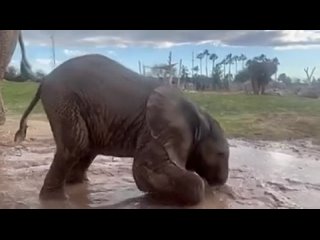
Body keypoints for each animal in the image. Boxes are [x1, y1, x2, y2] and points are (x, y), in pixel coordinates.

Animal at [14, 54, 230, 206]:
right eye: (221, 154)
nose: (220, 184)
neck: (200, 116)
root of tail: (45, 79)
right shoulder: (156, 130)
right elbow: (143, 168)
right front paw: (202, 188)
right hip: (63, 99)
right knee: (76, 145)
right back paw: (56, 201)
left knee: (86, 148)